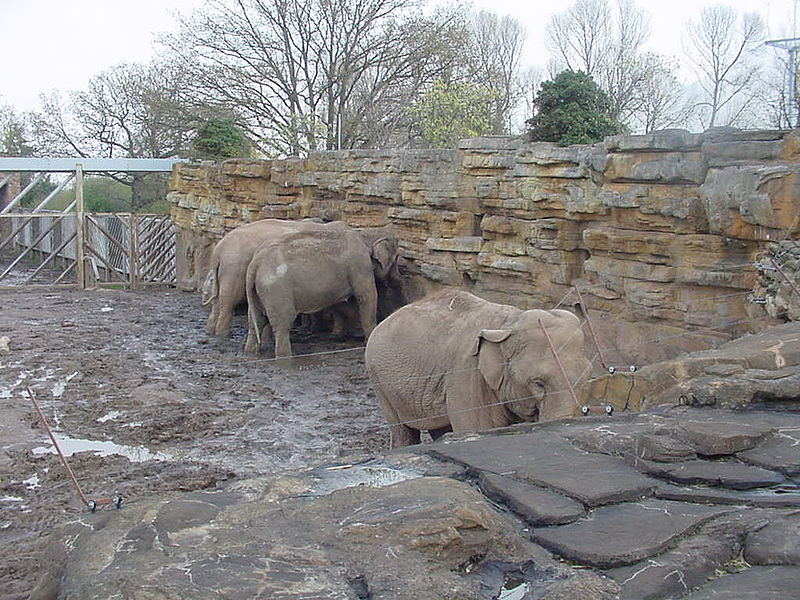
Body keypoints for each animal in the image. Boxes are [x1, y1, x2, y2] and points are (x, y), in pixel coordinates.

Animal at [364, 288, 592, 448]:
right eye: (537, 383)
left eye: (587, 379)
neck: (508, 323)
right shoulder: (466, 376)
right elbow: (475, 428)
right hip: (381, 385)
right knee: (402, 431)